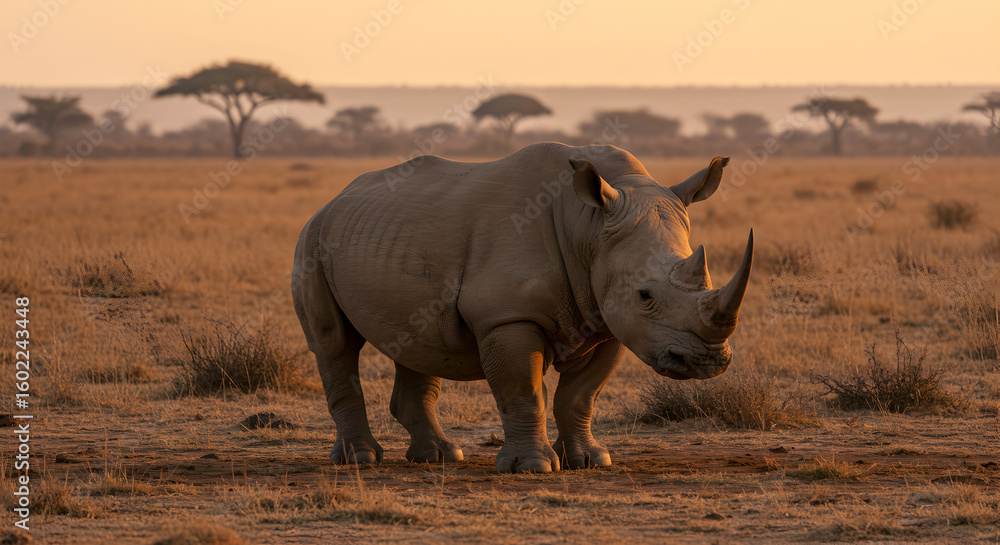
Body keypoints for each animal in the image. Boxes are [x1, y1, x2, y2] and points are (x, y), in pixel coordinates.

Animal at [292, 142, 753, 473]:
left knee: (417, 341)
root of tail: (335, 199)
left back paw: (440, 457)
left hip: (384, 237)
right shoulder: (507, 316)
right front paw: (532, 467)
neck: (588, 226)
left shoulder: (608, 320)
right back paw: (360, 460)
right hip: (311, 240)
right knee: (334, 344)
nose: (707, 361)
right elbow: (523, 389)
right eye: (645, 295)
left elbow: (581, 396)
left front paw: (589, 461)